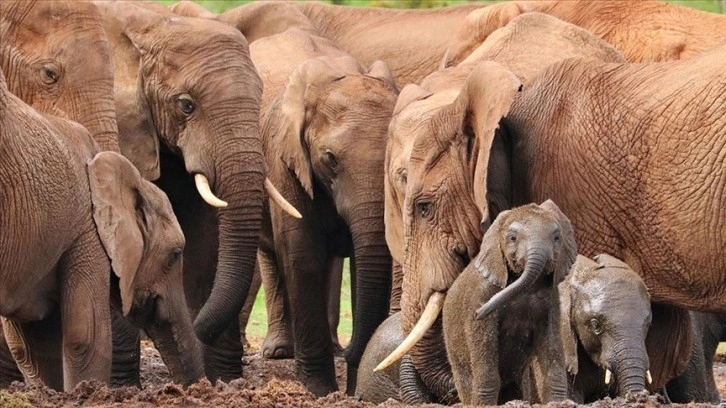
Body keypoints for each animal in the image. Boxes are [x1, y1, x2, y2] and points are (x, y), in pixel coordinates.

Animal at [249, 26, 398, 396]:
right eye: (330, 159)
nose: (352, 352)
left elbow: (364, 263)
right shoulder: (283, 160)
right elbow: (302, 255)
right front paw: (318, 389)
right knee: (271, 255)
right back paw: (279, 351)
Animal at [444, 198, 580, 404]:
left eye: (557, 238)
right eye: (512, 238)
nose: (479, 312)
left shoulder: (551, 302)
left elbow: (552, 346)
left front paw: (557, 402)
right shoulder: (481, 294)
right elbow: (485, 350)